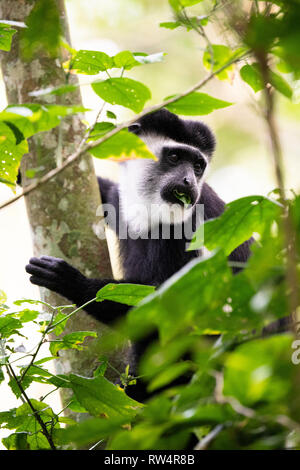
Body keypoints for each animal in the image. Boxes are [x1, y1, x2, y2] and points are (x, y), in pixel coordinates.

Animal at [24, 109, 252, 400]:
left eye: (198, 166)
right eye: (175, 157)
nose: (189, 180)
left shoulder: (183, 231)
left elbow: (166, 303)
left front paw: (69, 280)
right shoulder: (121, 203)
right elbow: (109, 195)